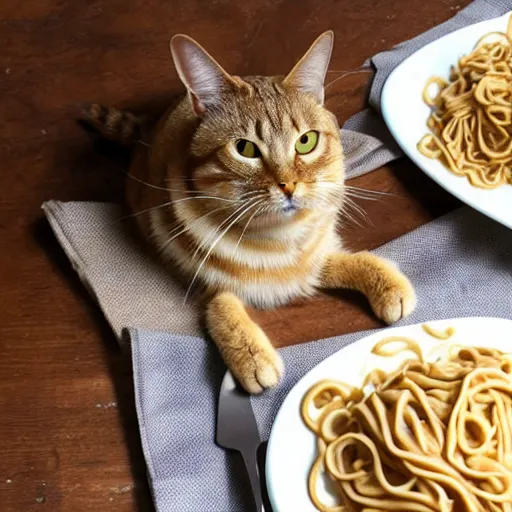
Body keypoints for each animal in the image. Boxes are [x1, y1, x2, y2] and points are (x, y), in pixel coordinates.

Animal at [84, 31, 418, 392]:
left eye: (306, 141)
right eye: (244, 148)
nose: (288, 186)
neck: (276, 237)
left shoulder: (312, 260)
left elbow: (346, 260)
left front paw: (385, 282)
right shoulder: (201, 282)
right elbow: (221, 308)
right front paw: (251, 355)